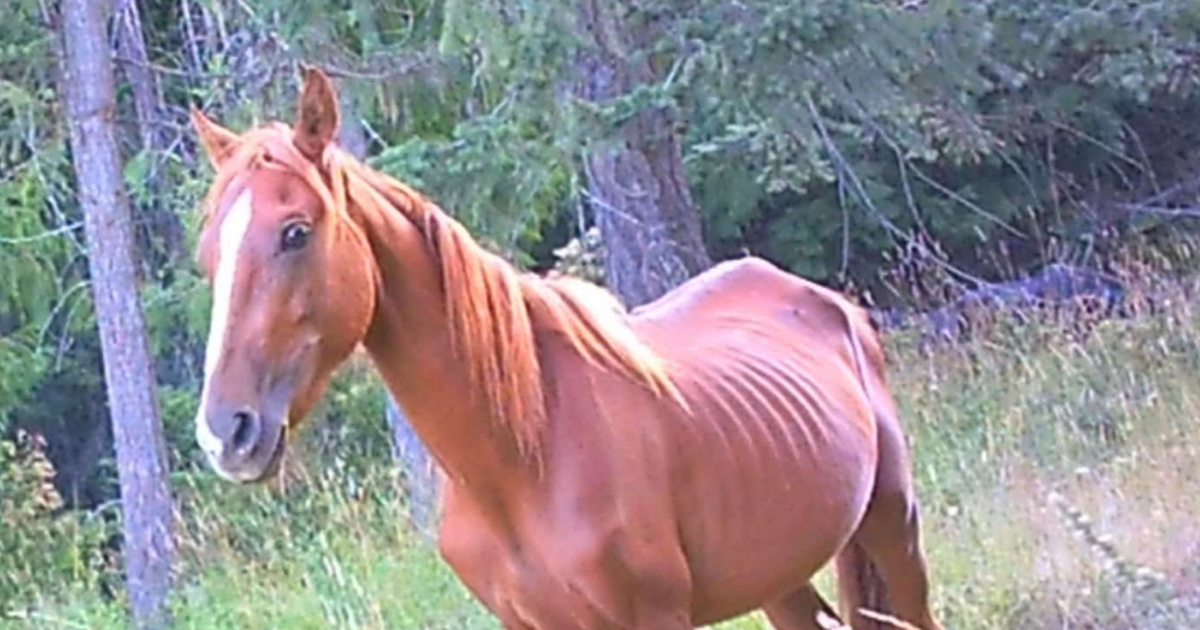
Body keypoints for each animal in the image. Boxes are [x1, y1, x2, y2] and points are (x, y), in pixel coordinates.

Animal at [190, 67, 944, 630]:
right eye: (208, 256)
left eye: (295, 232)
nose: (226, 432)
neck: (524, 454)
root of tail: (829, 304)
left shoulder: (656, 619)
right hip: (779, 576)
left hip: (894, 530)